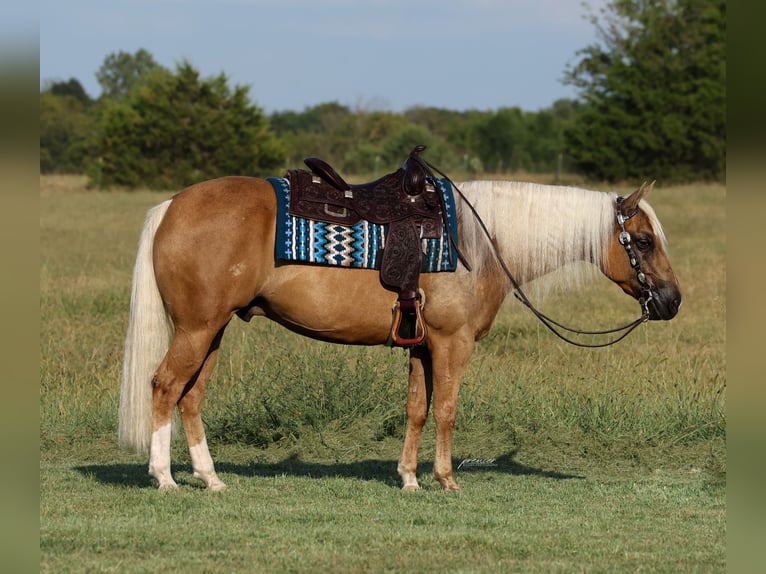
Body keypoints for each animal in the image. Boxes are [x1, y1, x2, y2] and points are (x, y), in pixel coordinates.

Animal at [118, 176, 681, 492]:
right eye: (644, 242)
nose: (672, 301)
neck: (477, 244)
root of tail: (171, 205)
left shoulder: (422, 346)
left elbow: (416, 410)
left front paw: (409, 478)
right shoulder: (452, 344)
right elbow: (447, 409)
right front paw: (446, 479)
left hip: (211, 332)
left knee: (191, 398)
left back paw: (211, 479)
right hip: (196, 330)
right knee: (165, 387)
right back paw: (165, 478)